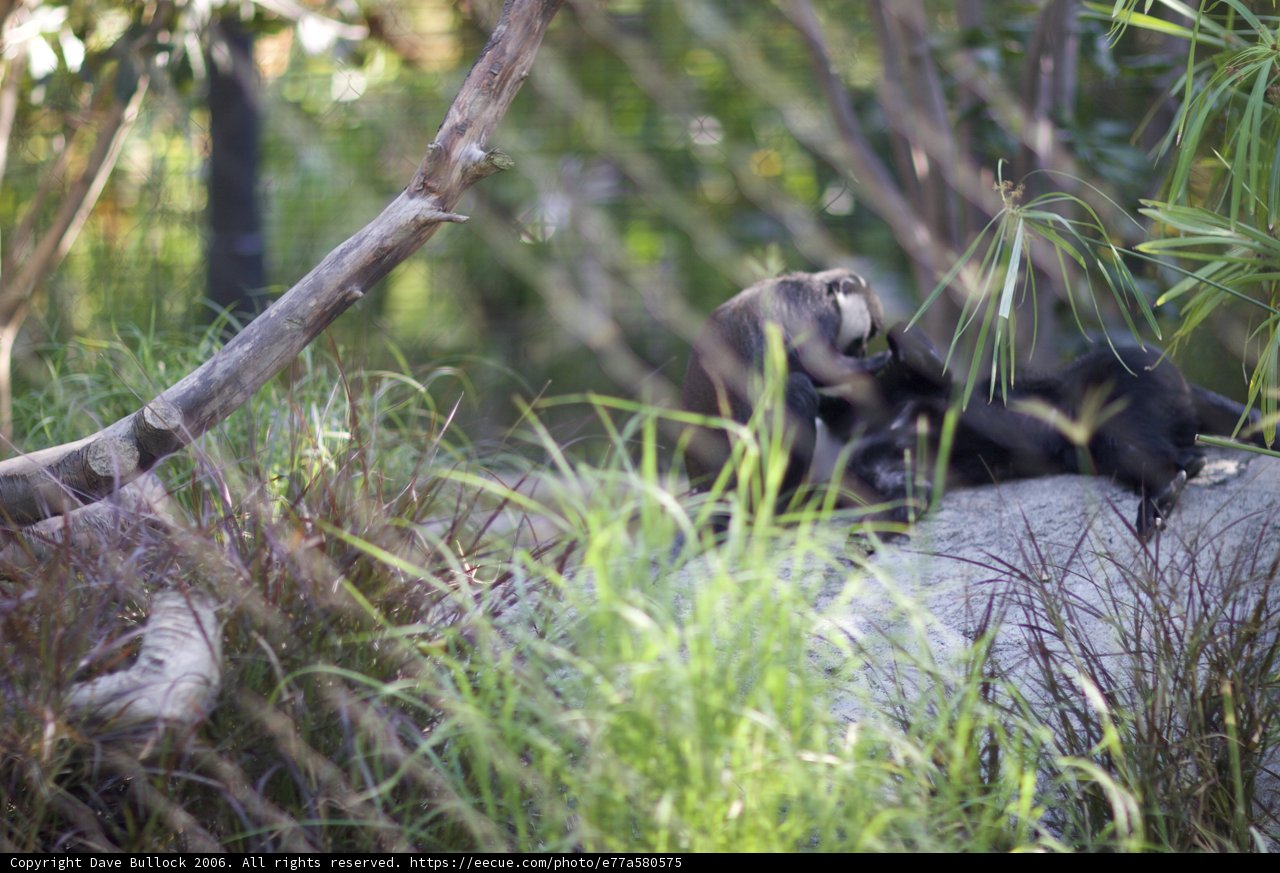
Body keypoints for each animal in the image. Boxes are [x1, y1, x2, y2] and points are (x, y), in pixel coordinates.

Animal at [679, 268, 891, 513]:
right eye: (869, 334)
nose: (863, 351)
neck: (827, 291)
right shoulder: (817, 308)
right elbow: (816, 363)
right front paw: (876, 363)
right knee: (799, 388)